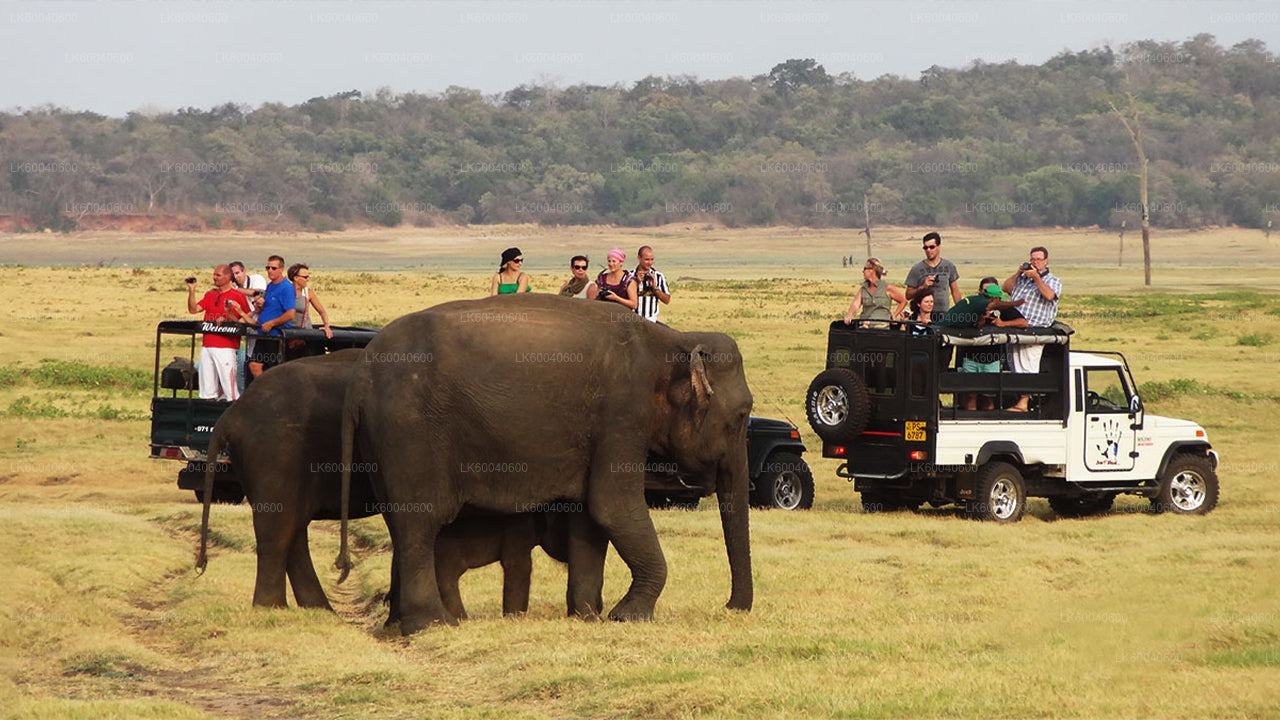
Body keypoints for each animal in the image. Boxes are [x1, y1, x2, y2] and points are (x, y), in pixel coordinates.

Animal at [195, 348, 581, 617]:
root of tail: (230, 415)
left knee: (292, 527)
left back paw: (319, 611)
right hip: (275, 452)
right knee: (279, 527)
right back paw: (274, 610)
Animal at [340, 294, 752, 630]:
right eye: (741, 417)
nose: (730, 608)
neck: (671, 340)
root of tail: (359, 379)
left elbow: (590, 516)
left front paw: (588, 616)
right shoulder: (622, 414)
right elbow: (613, 507)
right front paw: (627, 616)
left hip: (384, 442)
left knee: (401, 523)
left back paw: (398, 624)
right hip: (408, 432)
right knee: (419, 522)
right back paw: (433, 625)